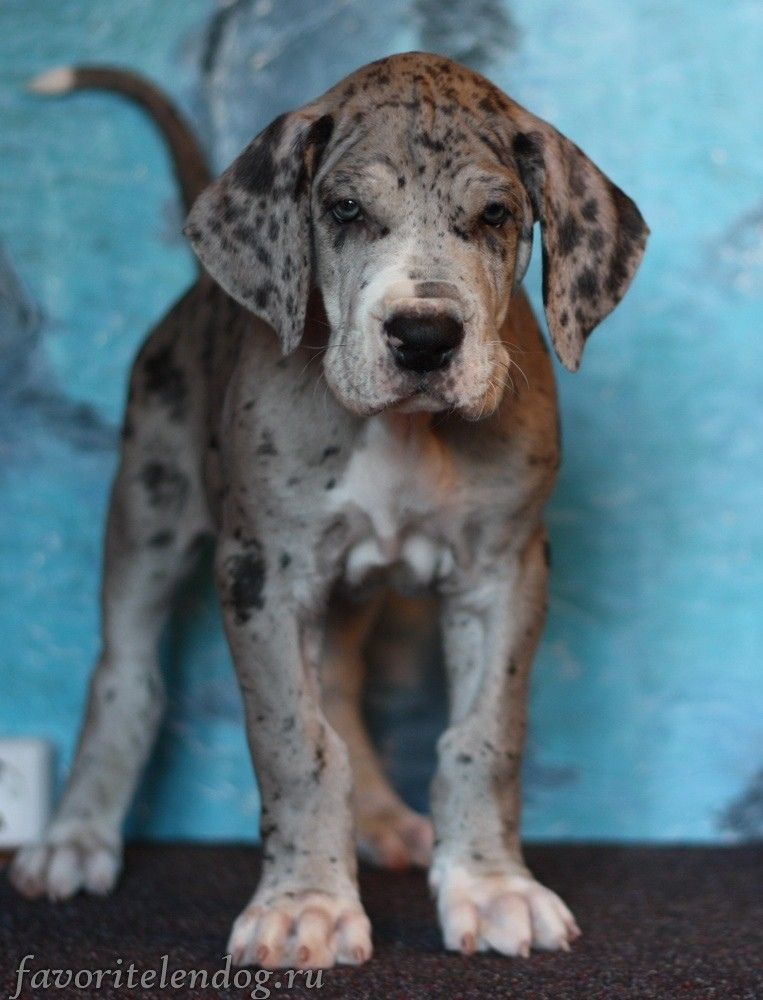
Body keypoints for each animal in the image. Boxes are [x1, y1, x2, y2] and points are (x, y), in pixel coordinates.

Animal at [11, 53, 648, 969]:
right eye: (344, 211)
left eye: (495, 215)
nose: (425, 336)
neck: (404, 431)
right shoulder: (261, 577)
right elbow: (296, 743)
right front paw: (304, 903)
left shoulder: (505, 570)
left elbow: (482, 737)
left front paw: (490, 886)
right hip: (149, 506)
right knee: (125, 676)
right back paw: (75, 838)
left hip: (349, 589)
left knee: (341, 687)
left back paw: (379, 819)